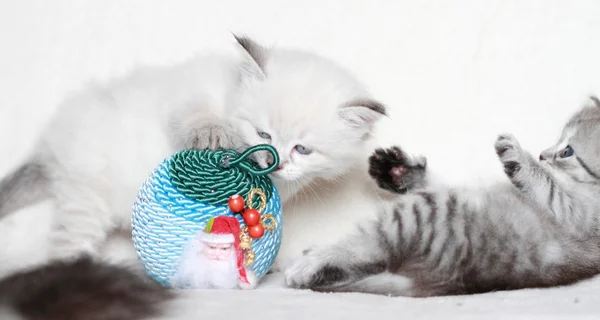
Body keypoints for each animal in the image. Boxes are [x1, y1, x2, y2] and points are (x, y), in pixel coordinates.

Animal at [0, 35, 384, 266]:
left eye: (302, 149)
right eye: (262, 133)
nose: (270, 162)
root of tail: (51, 141)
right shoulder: (187, 91)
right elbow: (197, 116)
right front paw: (212, 135)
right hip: (87, 197)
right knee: (66, 247)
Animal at [284, 97, 600, 296]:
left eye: (567, 151)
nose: (542, 155)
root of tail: (457, 279)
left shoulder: (578, 217)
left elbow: (548, 186)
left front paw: (519, 155)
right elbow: (435, 181)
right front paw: (398, 171)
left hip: (425, 211)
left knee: (370, 249)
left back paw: (312, 263)